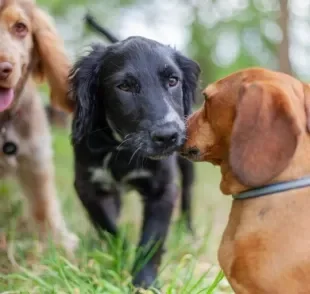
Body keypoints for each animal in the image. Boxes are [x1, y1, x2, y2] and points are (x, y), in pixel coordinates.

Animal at [70, 23, 200, 290]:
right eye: (124, 86)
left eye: (173, 80)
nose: (168, 135)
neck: (123, 149)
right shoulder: (87, 186)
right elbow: (108, 227)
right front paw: (119, 253)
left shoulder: (163, 189)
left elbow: (151, 239)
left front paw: (144, 282)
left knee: (188, 197)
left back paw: (190, 233)